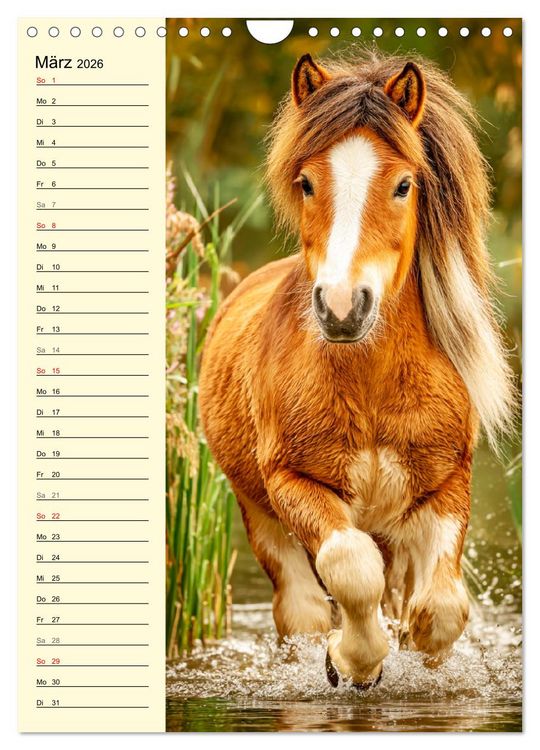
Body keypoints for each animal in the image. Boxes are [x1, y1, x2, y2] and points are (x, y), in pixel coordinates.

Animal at [199, 50, 515, 688]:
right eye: (306, 182)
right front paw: (350, 660)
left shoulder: (447, 484)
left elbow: (442, 608)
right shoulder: (295, 483)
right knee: (301, 606)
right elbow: (350, 566)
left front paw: (417, 653)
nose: (343, 307)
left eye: (404, 184)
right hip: (261, 519)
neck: (370, 384)